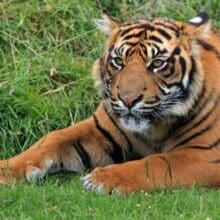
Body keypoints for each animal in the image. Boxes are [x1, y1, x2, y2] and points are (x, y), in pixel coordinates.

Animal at [0, 11, 220, 194]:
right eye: (118, 62)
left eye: (157, 63)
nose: (128, 100)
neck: (156, 127)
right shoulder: (99, 129)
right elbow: (52, 138)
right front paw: (6, 169)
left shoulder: (206, 155)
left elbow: (157, 162)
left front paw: (103, 178)